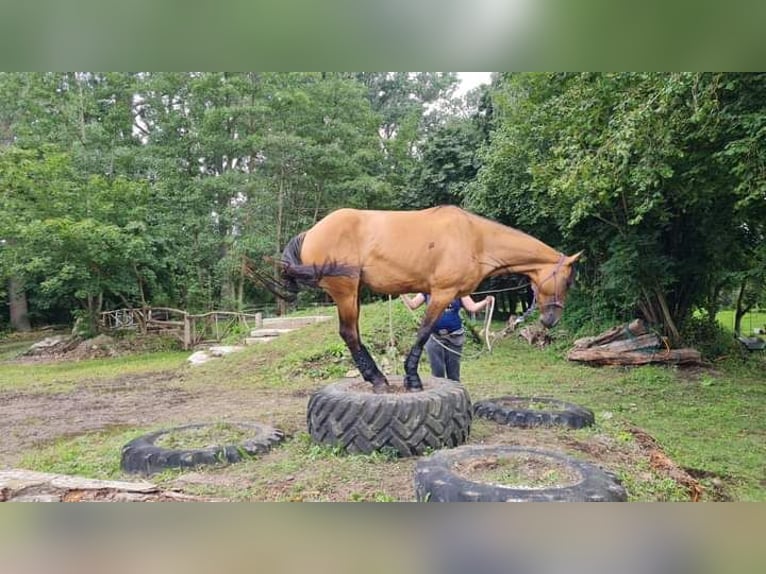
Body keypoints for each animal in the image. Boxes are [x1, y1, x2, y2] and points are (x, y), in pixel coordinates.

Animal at [254, 206, 581, 392]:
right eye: (567, 279)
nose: (551, 319)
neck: (475, 238)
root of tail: (312, 231)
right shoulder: (442, 293)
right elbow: (424, 333)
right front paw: (412, 378)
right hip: (345, 292)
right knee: (349, 334)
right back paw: (378, 380)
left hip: (352, 294)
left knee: (353, 335)